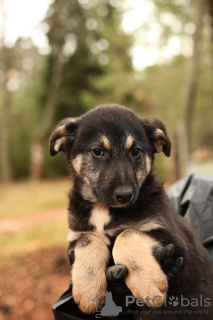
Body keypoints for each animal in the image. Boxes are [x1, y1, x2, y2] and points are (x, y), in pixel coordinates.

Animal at [49, 104, 213, 318]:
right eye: (97, 151)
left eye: (135, 152)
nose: (125, 195)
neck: (104, 208)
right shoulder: (77, 235)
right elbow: (89, 240)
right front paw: (88, 292)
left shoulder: (177, 243)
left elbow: (128, 233)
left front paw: (148, 284)